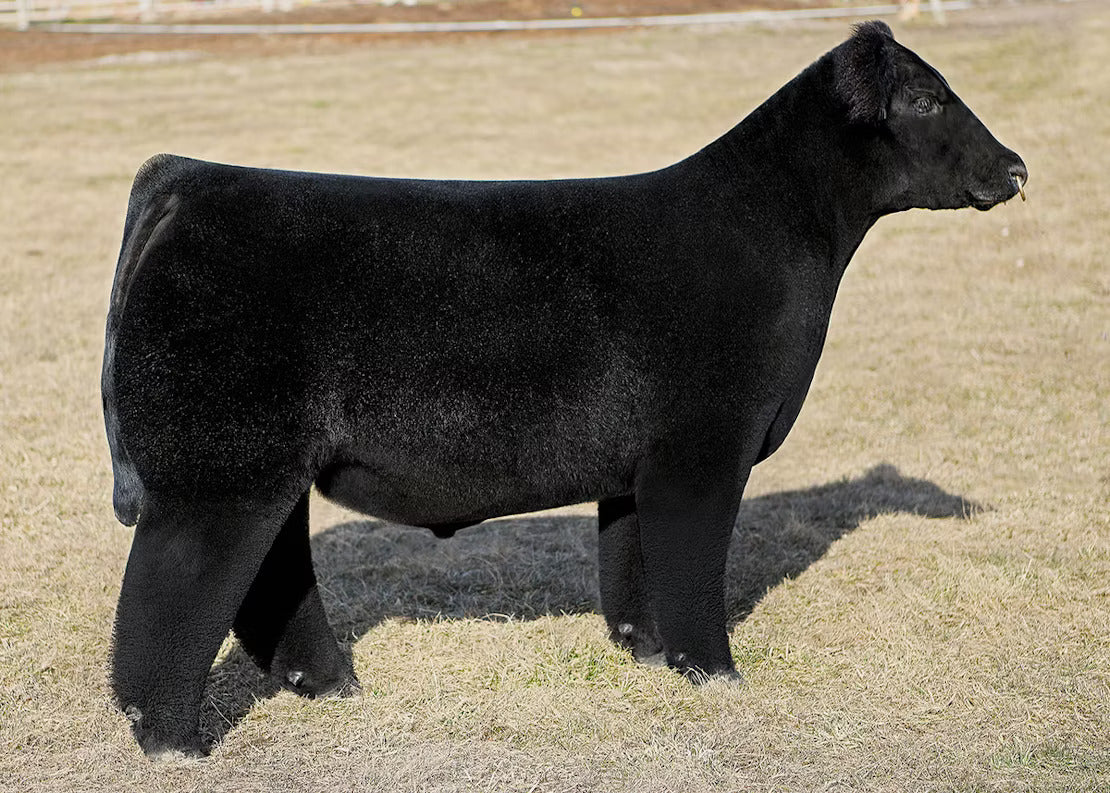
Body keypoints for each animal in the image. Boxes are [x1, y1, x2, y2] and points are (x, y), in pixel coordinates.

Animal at [102, 21, 1026, 757]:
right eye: (927, 100)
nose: (1017, 167)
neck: (772, 233)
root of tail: (186, 177)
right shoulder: (704, 446)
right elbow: (693, 566)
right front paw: (717, 672)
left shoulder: (640, 463)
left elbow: (636, 564)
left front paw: (652, 653)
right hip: (218, 475)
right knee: (168, 601)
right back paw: (175, 741)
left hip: (265, 471)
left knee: (271, 581)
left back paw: (330, 684)